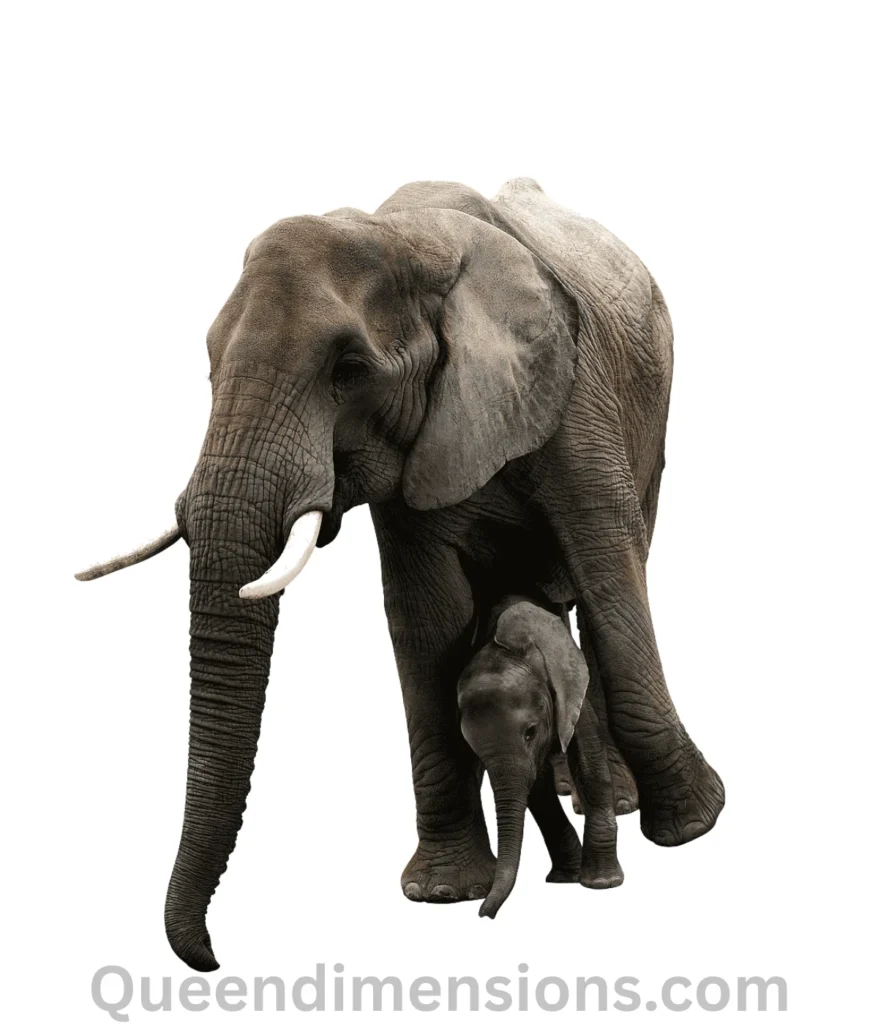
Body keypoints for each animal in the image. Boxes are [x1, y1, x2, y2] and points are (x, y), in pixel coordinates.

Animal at [457, 595, 623, 920]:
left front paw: (602, 883)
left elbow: (588, 762)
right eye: (471, 747)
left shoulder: (568, 686)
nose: (483, 913)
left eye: (530, 732)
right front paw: (566, 877)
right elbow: (535, 784)